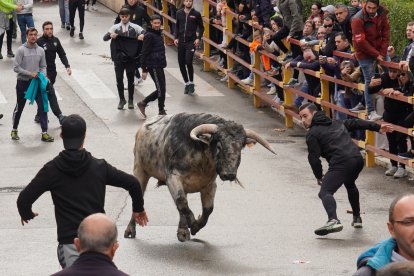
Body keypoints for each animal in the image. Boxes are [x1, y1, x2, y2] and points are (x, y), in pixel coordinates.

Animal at [124, 112, 276, 242]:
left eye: (241, 147)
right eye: (219, 145)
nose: (230, 174)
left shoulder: (209, 185)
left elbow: (207, 209)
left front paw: (195, 227)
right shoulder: (173, 178)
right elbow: (182, 202)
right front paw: (192, 222)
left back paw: (183, 232)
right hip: (140, 171)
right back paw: (130, 230)